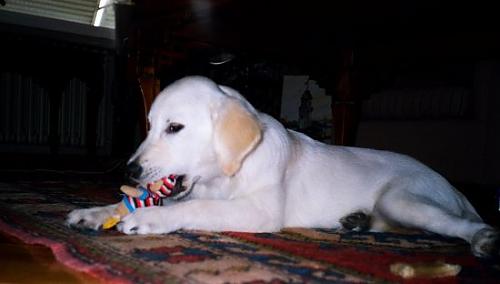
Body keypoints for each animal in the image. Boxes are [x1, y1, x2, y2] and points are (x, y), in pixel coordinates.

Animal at [67, 75, 500, 258]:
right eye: (151, 125)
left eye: (175, 128)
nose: (129, 172)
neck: (229, 171)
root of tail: (453, 186)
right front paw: (95, 212)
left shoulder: (259, 211)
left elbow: (198, 208)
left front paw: (149, 220)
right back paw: (357, 222)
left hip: (404, 198)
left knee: (457, 225)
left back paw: (483, 239)